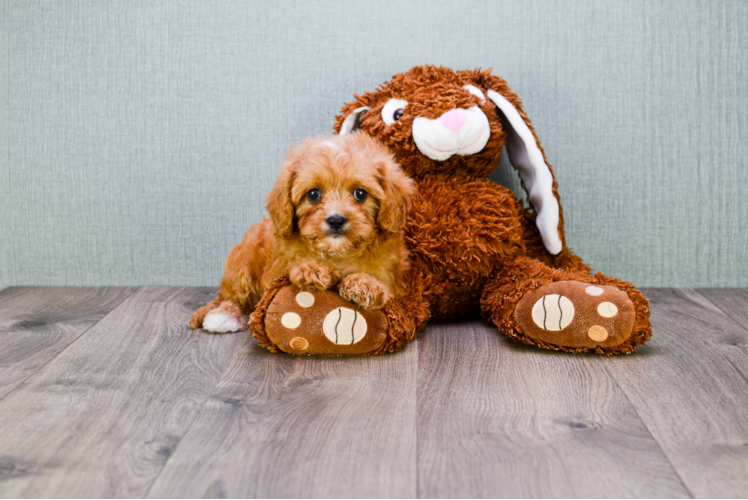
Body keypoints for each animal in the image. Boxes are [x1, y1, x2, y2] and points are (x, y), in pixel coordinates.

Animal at [190, 132, 414, 332]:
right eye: (313, 194)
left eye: (360, 194)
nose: (335, 220)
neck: (337, 253)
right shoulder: (275, 269)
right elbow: (289, 267)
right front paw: (310, 269)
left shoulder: (392, 275)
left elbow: (382, 283)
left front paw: (366, 285)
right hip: (242, 262)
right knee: (233, 295)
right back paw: (224, 315)